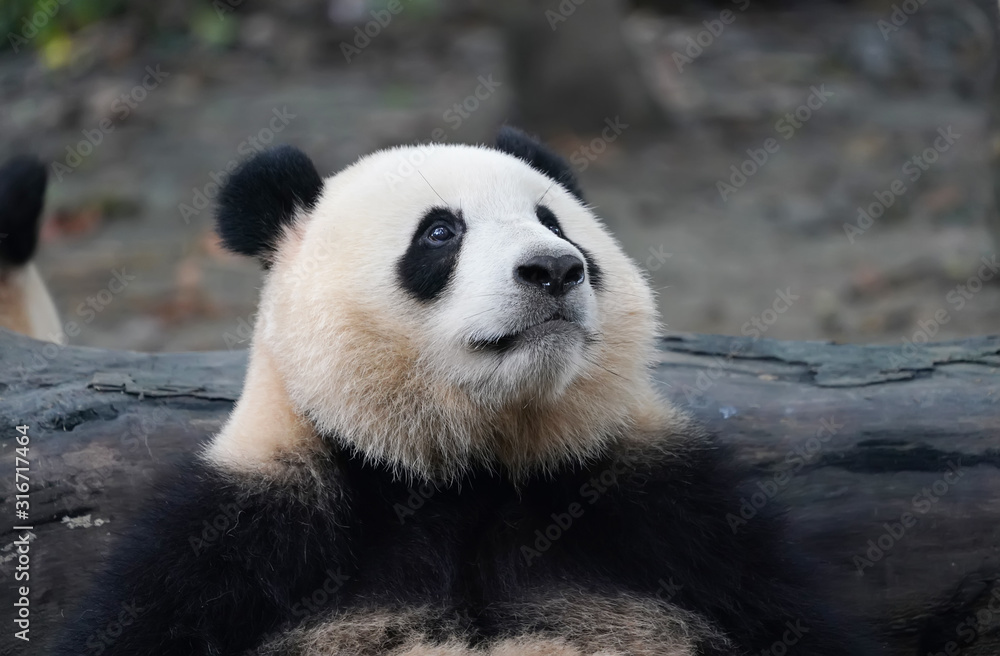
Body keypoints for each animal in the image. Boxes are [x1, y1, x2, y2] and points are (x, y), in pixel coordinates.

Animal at [56, 127, 875, 656]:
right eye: (440, 232)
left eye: (555, 222)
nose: (554, 269)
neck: (468, 470)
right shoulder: (245, 541)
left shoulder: (674, 521)